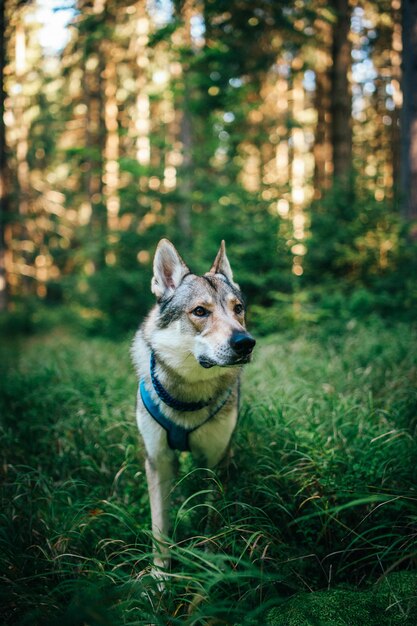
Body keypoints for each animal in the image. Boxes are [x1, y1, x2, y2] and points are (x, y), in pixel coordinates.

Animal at [131, 238, 254, 572]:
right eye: (200, 311)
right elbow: (160, 528)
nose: (245, 343)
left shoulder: (215, 459)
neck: (188, 394)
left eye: (238, 309)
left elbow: (212, 519)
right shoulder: (157, 461)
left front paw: (210, 566)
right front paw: (160, 577)